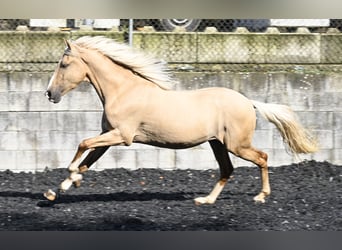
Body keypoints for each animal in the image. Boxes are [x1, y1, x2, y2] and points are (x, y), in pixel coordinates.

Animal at [43, 36, 318, 205]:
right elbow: (86, 161)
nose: (49, 94)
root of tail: (248, 101)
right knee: (227, 169)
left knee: (262, 157)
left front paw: (68, 179)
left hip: (236, 144)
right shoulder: (109, 137)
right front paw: (57, 190)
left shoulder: (122, 136)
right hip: (218, 143)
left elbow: (82, 144)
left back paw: (260, 196)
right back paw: (206, 200)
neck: (123, 91)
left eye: (64, 64)